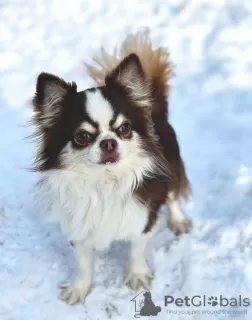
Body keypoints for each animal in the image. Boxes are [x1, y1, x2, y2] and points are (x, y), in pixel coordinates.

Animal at [31, 29, 191, 304]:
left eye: (124, 128)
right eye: (82, 137)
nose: (108, 142)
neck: (104, 180)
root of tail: (154, 102)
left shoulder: (144, 216)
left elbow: (136, 250)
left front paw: (137, 277)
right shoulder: (78, 227)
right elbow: (83, 263)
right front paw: (79, 289)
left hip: (171, 169)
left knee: (173, 197)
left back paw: (178, 221)